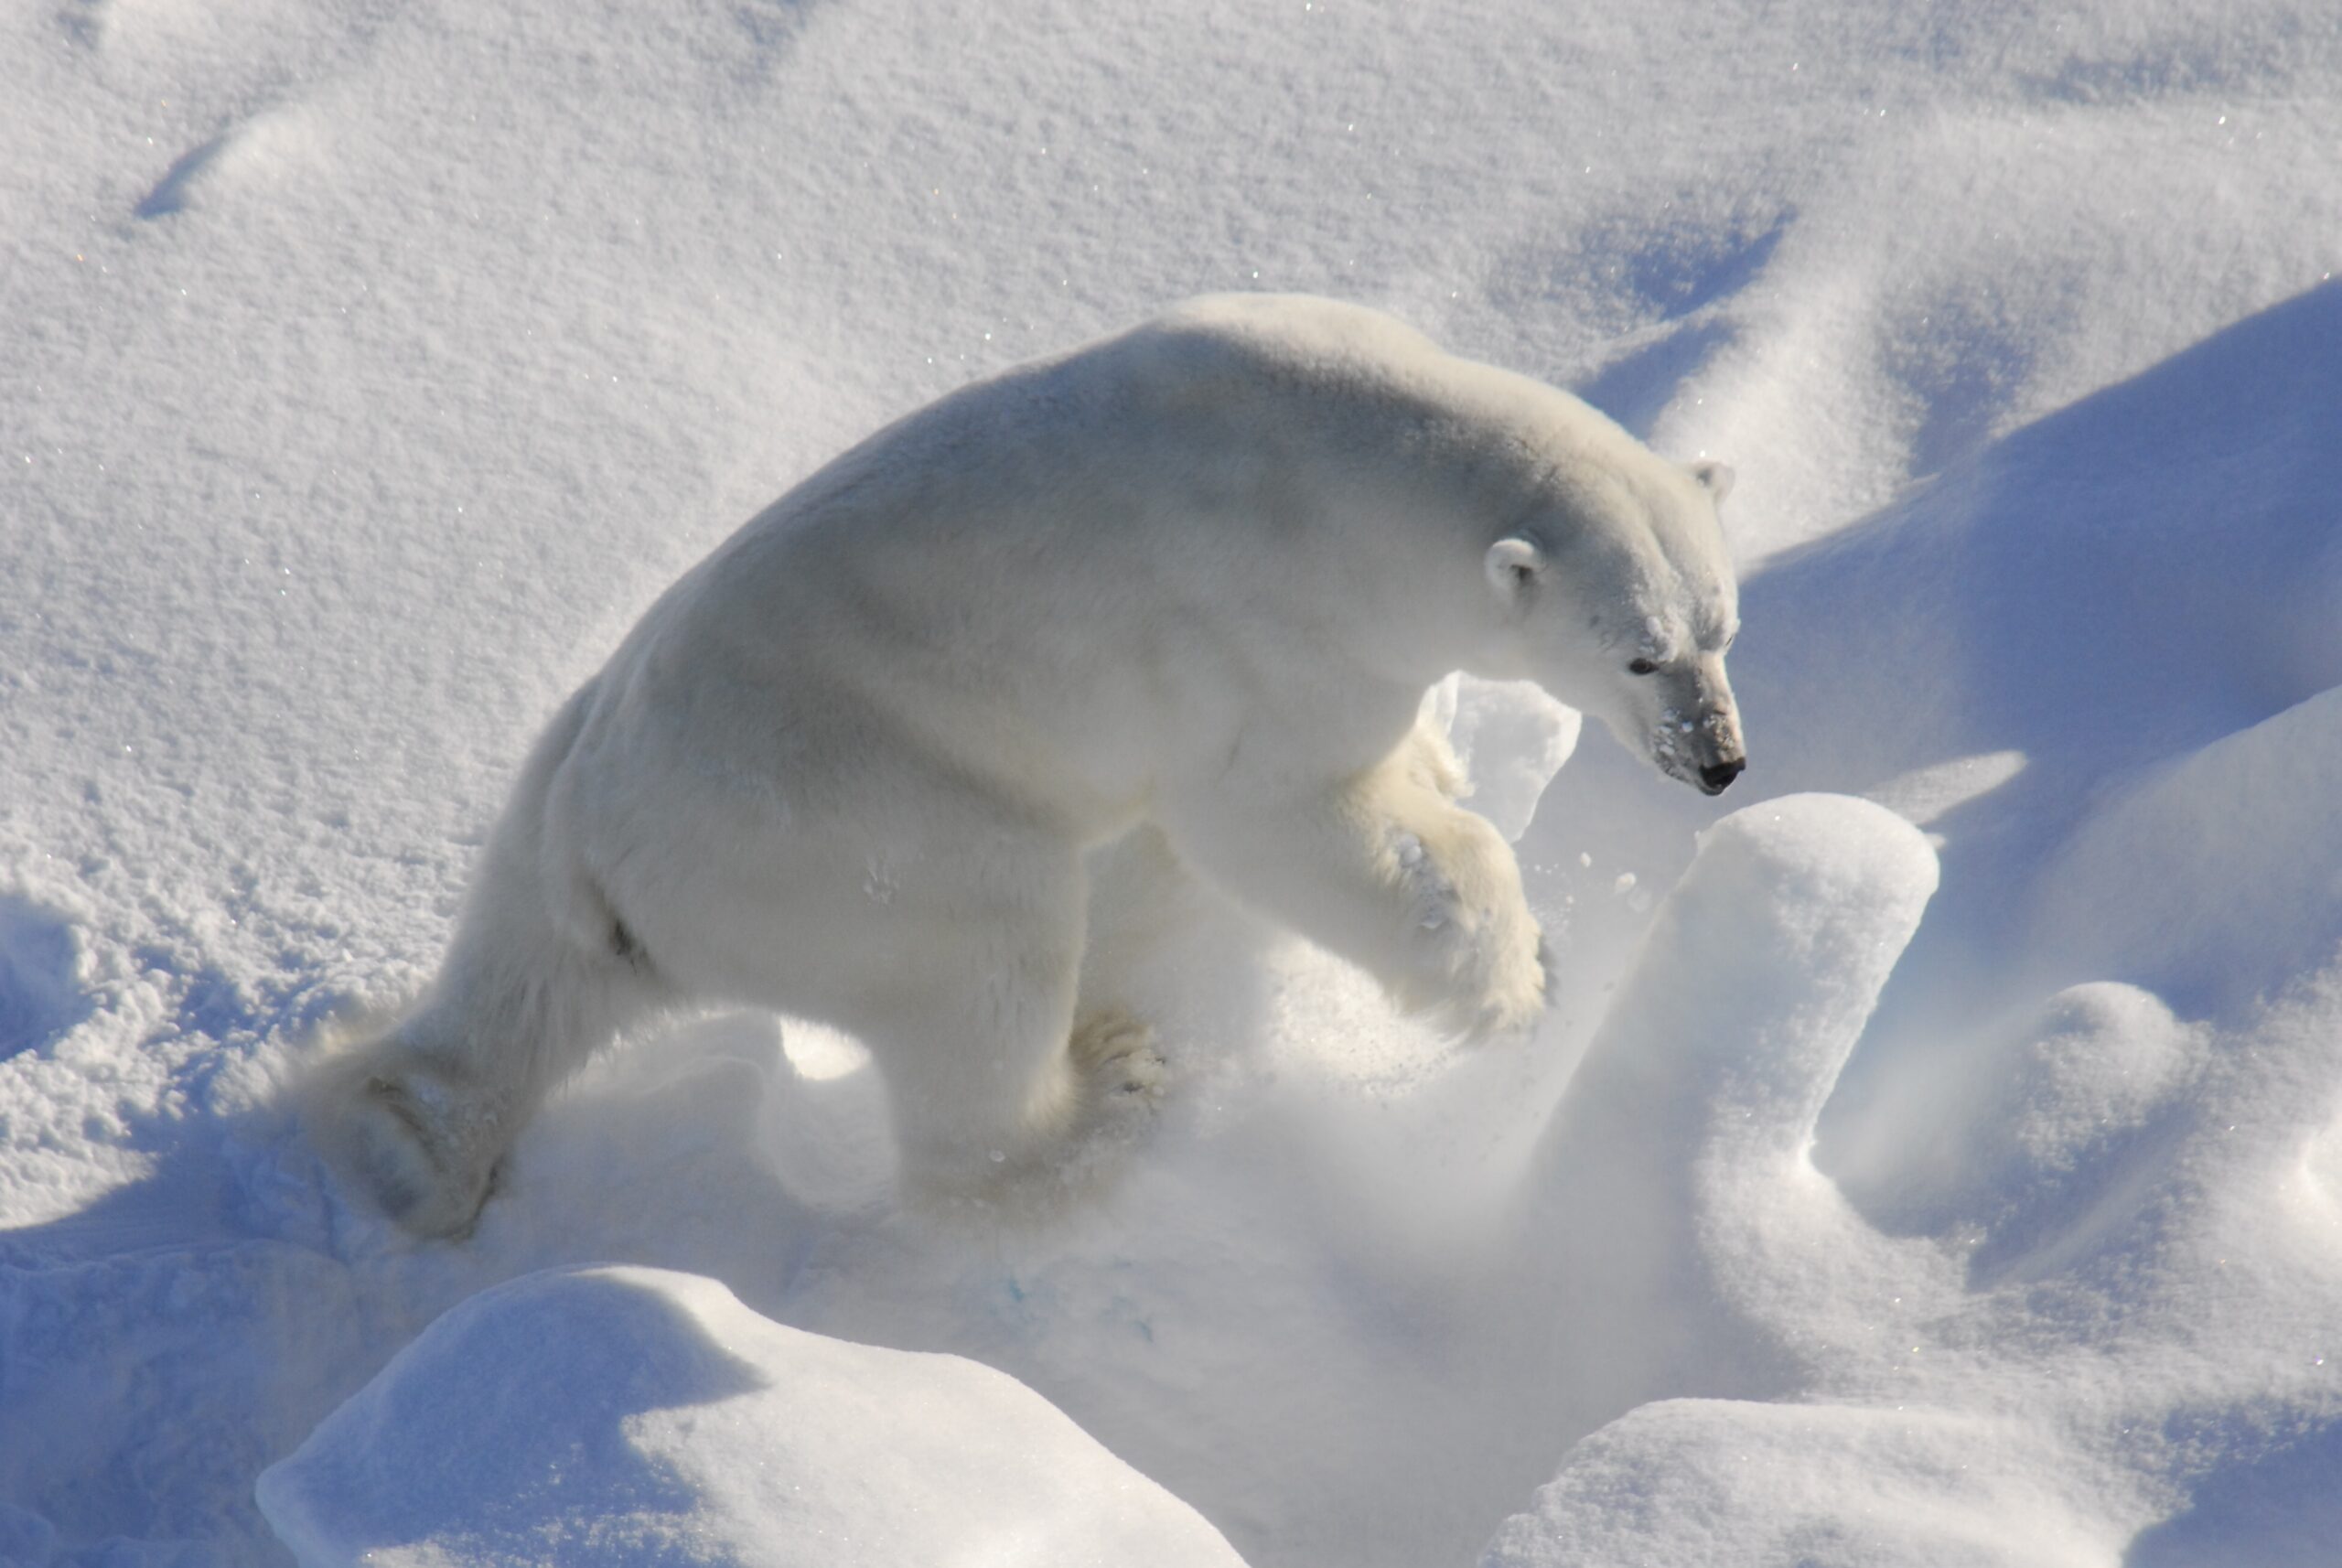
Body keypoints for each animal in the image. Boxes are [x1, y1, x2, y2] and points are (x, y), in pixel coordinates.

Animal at [306, 293, 1746, 1238]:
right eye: (1638, 655)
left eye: (1721, 626)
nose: (1722, 760)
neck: (1350, 457)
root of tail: (601, 849)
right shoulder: (1268, 628)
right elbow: (1275, 821)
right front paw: (1513, 980)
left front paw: (1445, 767)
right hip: (844, 828)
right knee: (985, 966)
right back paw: (1103, 1090)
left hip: (554, 781)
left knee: (515, 982)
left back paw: (400, 1122)